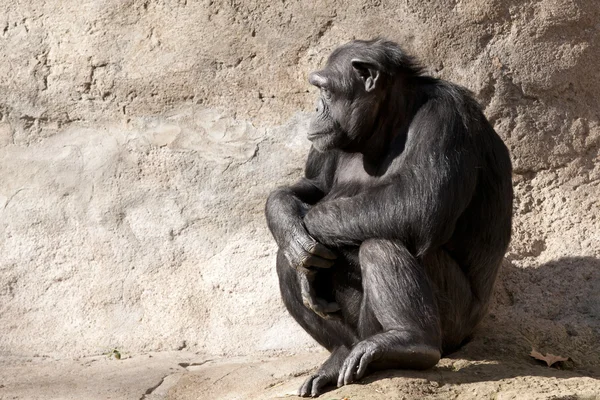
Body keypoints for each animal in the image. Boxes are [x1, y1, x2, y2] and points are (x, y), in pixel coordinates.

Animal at [264, 38, 512, 396]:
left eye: (325, 91)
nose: (316, 108)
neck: (390, 121)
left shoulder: (446, 116)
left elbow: (418, 202)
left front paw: (309, 225)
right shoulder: (329, 144)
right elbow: (312, 186)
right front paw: (287, 222)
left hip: (455, 321)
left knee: (381, 243)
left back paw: (411, 343)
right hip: (362, 331)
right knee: (288, 258)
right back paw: (338, 356)